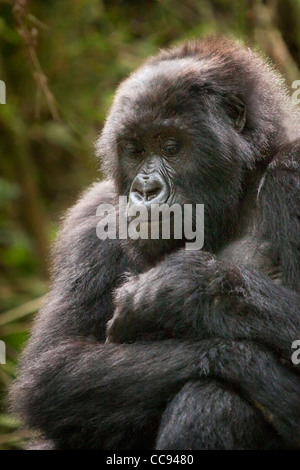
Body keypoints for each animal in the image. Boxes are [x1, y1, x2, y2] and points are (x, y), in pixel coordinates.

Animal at [10, 35, 300, 448]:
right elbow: (53, 369)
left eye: (170, 146)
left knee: (213, 397)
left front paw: (183, 289)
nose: (145, 190)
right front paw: (252, 365)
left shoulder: (291, 173)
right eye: (134, 150)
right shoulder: (91, 218)